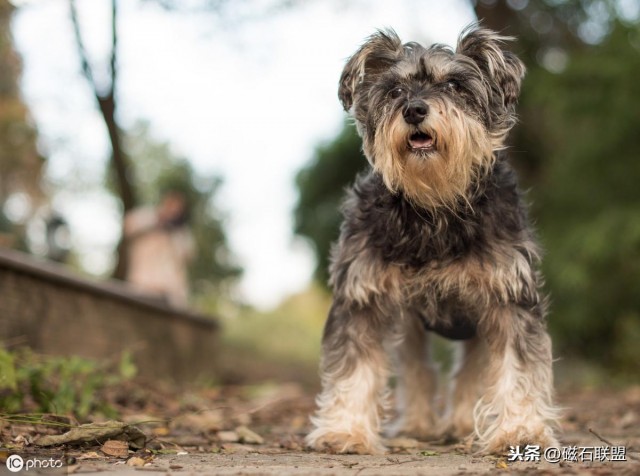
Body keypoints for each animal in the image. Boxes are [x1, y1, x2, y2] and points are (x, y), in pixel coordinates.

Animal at [306, 25, 560, 454]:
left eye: (455, 85)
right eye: (394, 90)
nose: (414, 110)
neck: (434, 207)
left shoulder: (508, 295)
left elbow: (517, 365)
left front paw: (520, 431)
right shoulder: (362, 295)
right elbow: (354, 368)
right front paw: (346, 430)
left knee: (472, 370)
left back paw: (461, 424)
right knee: (417, 369)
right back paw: (420, 425)